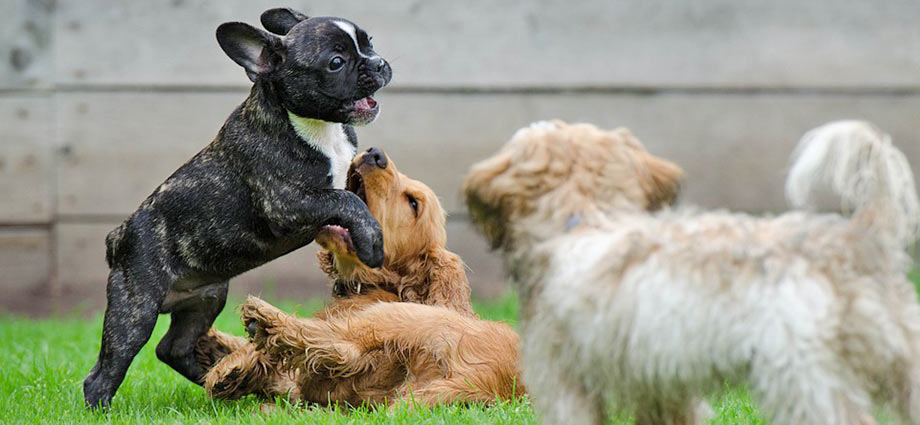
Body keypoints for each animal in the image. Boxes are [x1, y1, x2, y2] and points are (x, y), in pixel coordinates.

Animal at [464, 119, 920, 424]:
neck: (586, 218)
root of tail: (860, 238)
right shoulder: (661, 389)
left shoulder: (566, 384)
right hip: (904, 368)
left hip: (805, 379)